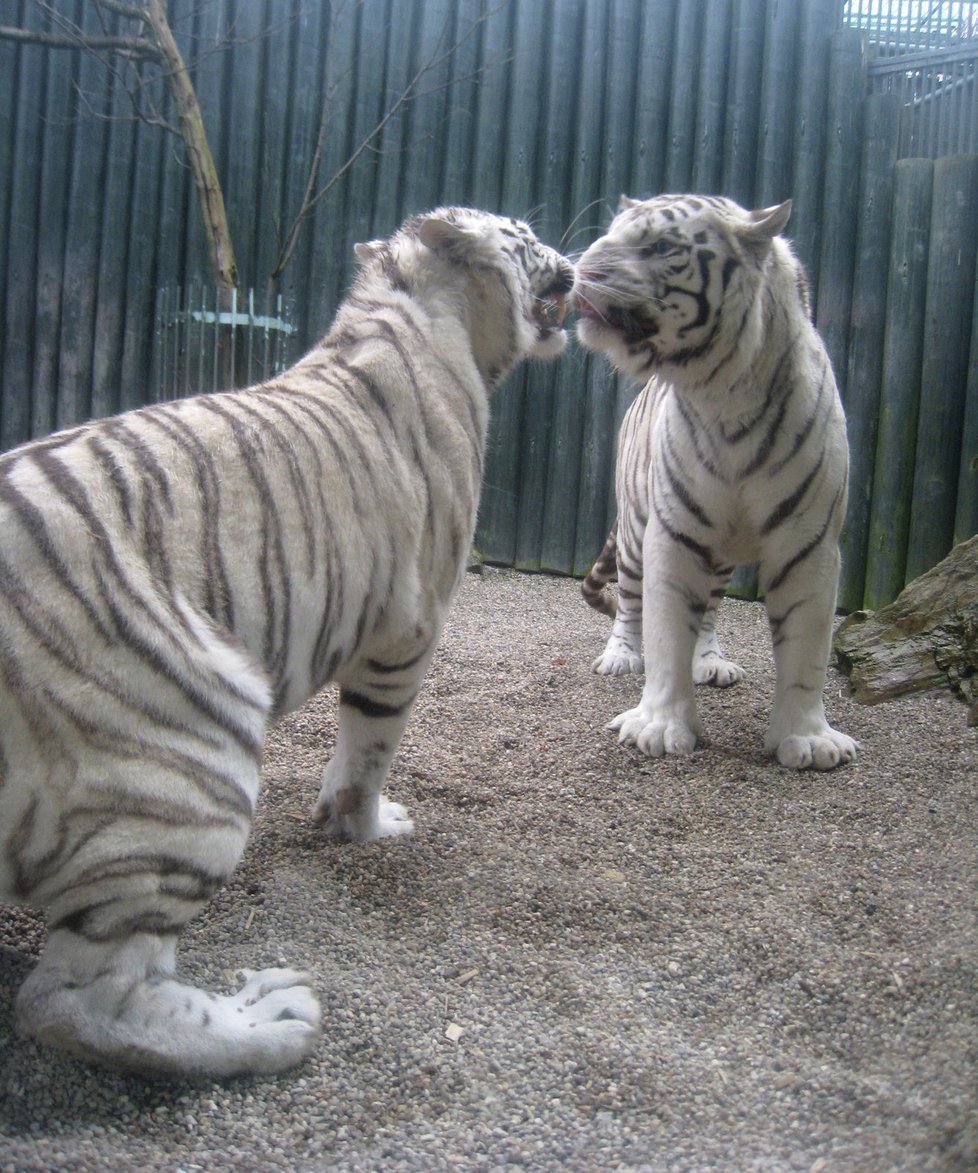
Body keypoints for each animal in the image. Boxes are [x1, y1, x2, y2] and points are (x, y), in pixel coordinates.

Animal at [0, 206, 572, 1074]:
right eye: (525, 237)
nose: (574, 264)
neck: (411, 309)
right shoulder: (409, 628)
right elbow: (370, 748)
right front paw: (364, 826)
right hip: (191, 754)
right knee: (80, 1000)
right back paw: (272, 1019)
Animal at [572, 197, 853, 774]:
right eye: (609, 235)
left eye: (661, 247)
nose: (581, 272)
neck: (725, 395)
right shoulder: (672, 534)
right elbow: (664, 632)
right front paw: (658, 727)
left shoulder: (810, 542)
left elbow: (807, 649)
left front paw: (808, 739)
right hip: (634, 534)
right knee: (629, 603)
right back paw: (620, 656)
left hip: (720, 554)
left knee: (709, 612)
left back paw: (710, 661)